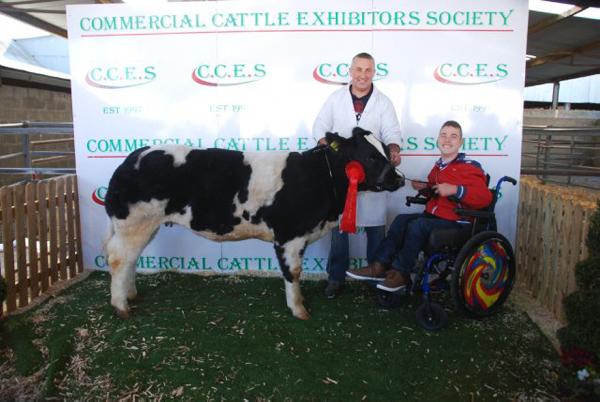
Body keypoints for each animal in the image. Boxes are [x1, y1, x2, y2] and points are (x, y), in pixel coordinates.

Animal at [104, 127, 404, 320]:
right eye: (370, 156)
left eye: (385, 150)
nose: (399, 179)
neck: (321, 177)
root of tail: (133, 157)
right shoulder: (289, 236)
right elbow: (293, 272)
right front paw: (299, 310)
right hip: (135, 223)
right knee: (119, 259)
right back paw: (121, 306)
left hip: (144, 226)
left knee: (130, 259)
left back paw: (131, 295)